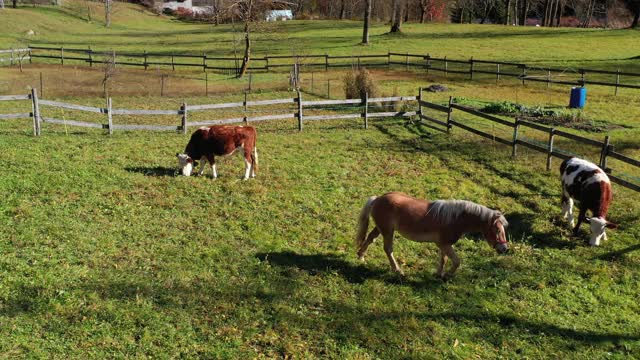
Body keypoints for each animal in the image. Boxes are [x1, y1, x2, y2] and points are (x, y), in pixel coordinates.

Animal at [352, 193, 508, 280]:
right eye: (497, 230)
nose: (504, 248)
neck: (456, 218)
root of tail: (377, 199)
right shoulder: (444, 244)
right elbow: (456, 261)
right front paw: (447, 275)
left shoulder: (443, 244)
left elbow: (444, 259)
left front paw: (439, 274)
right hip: (388, 231)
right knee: (388, 249)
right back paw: (398, 270)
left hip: (381, 229)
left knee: (370, 239)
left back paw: (361, 257)